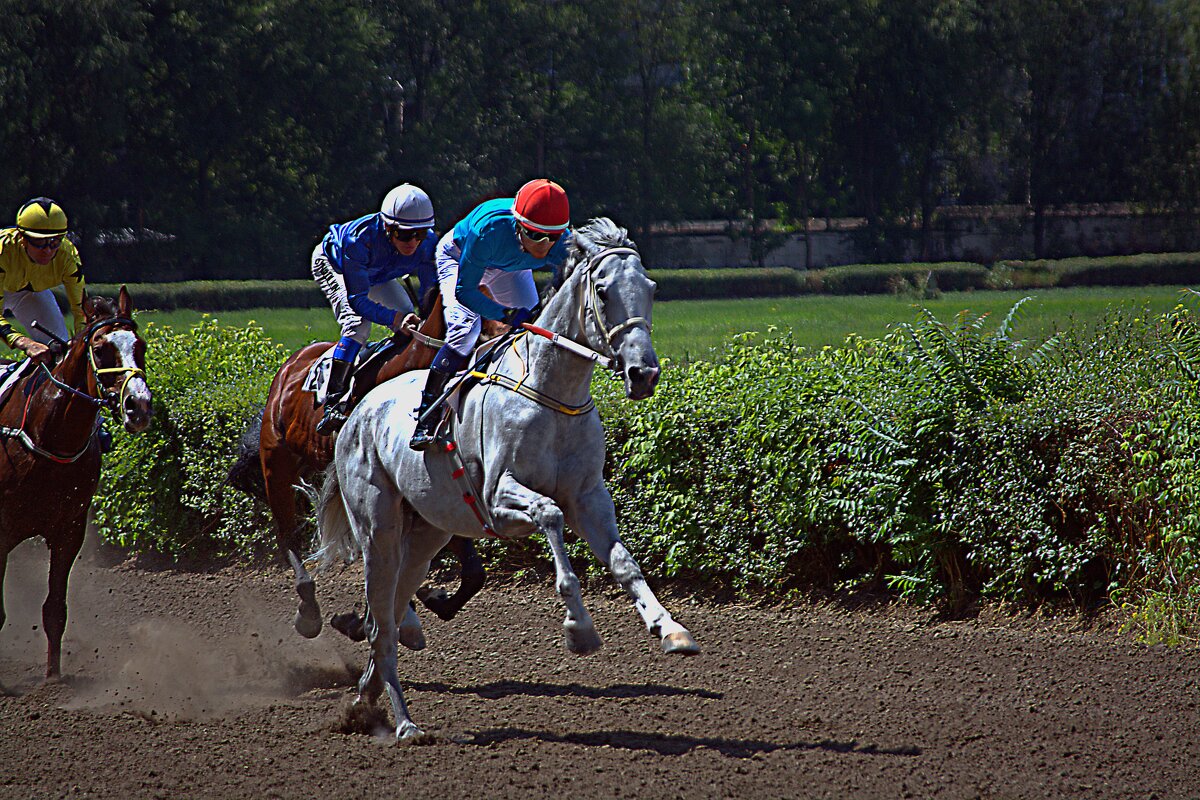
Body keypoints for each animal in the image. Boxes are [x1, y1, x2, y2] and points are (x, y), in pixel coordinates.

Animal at [0, 287, 153, 676]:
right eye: (101, 350)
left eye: (141, 346)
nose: (139, 406)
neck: (49, 436)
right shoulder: (2, 531)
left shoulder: (69, 529)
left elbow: (55, 611)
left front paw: (53, 678)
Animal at [248, 291, 487, 642]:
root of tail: (293, 363)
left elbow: (473, 573)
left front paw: (429, 601)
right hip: (276, 464)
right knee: (287, 534)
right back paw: (308, 611)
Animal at [314, 217, 700, 738]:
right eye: (602, 292)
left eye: (651, 289)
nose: (644, 374)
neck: (550, 390)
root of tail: (356, 410)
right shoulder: (500, 499)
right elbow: (550, 514)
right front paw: (579, 628)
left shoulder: (589, 498)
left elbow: (624, 562)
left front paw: (670, 629)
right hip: (379, 530)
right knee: (380, 619)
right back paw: (402, 721)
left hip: (427, 533)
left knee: (391, 615)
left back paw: (366, 699)